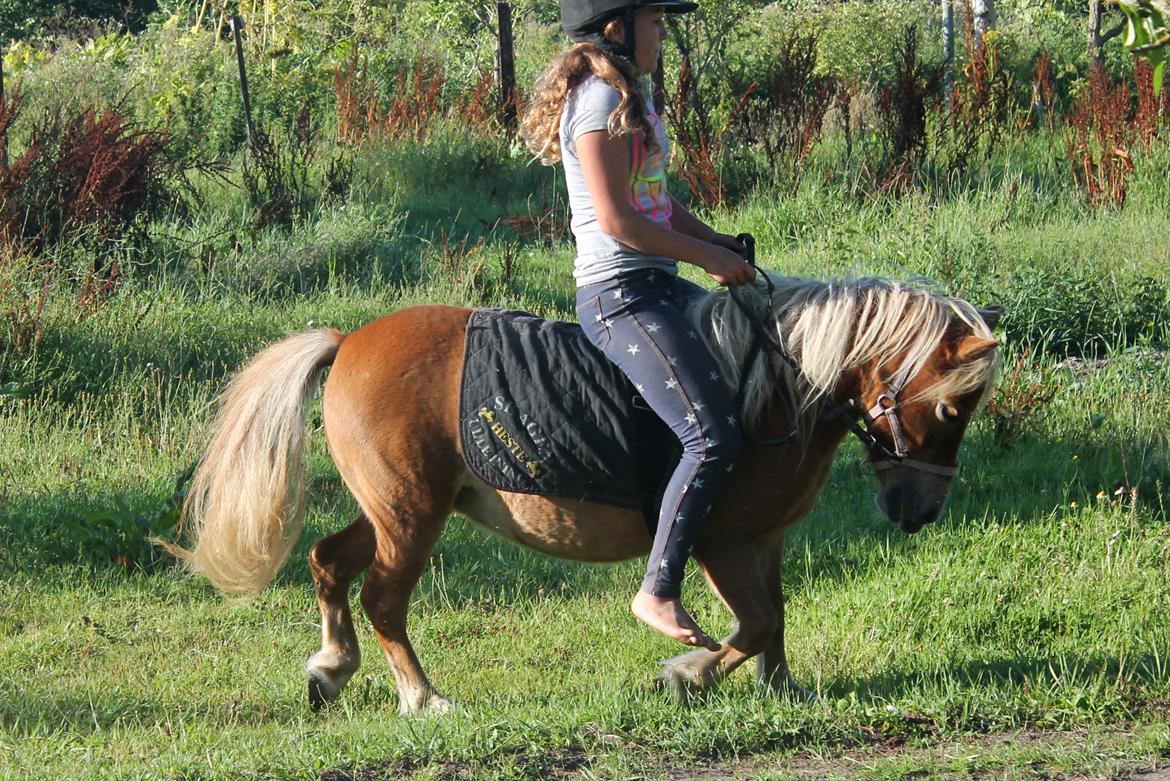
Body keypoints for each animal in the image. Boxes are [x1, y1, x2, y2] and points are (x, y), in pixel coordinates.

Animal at [160, 275, 1001, 715]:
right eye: (952, 408)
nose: (918, 511)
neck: (772, 393)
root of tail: (349, 342)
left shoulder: (765, 541)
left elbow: (777, 618)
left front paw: (783, 690)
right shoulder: (722, 540)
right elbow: (756, 621)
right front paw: (687, 674)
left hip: (394, 508)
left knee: (330, 561)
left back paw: (331, 668)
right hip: (410, 515)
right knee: (383, 598)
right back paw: (422, 696)